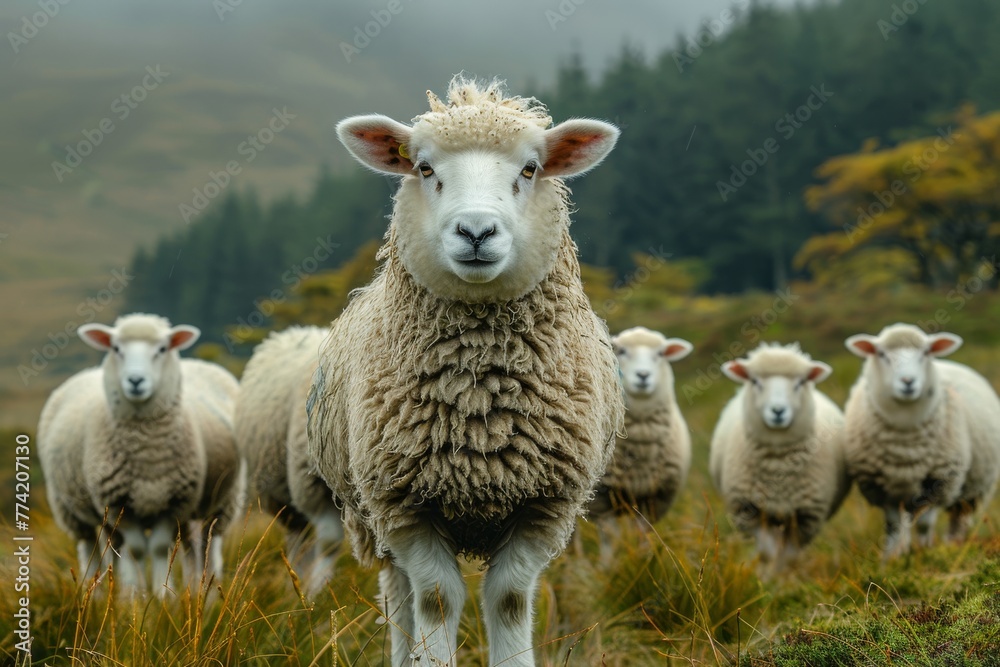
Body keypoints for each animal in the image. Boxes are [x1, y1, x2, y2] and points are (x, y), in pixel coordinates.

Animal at [37, 313, 243, 596]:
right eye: (116, 348)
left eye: (162, 349)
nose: (135, 381)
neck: (148, 450)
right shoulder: (119, 504)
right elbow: (134, 550)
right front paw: (136, 596)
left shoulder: (174, 504)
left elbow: (158, 548)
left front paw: (163, 596)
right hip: (71, 509)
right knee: (91, 546)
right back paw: (98, 597)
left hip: (220, 505)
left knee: (204, 549)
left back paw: (204, 595)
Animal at [234, 325, 342, 595]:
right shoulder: (314, 487)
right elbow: (330, 543)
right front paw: (320, 593)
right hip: (283, 494)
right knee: (300, 540)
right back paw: (299, 584)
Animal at [307, 76, 624, 667]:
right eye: (425, 168)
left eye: (530, 169)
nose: (476, 231)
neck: (480, 408)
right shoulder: (403, 503)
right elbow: (435, 598)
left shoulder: (544, 503)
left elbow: (509, 600)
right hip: (370, 518)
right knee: (400, 595)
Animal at [710, 342, 849, 573]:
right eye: (755, 381)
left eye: (800, 382)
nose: (777, 411)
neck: (777, 462)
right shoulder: (749, 509)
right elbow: (767, 552)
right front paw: (763, 577)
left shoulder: (806, 516)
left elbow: (787, 556)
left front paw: (779, 578)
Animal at [843, 323, 1000, 559]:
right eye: (882, 354)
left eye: (926, 353)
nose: (908, 381)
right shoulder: (882, 488)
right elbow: (893, 526)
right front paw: (892, 558)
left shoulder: (940, 481)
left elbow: (925, 524)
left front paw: (926, 552)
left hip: (973, 490)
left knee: (958, 519)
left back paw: (953, 545)